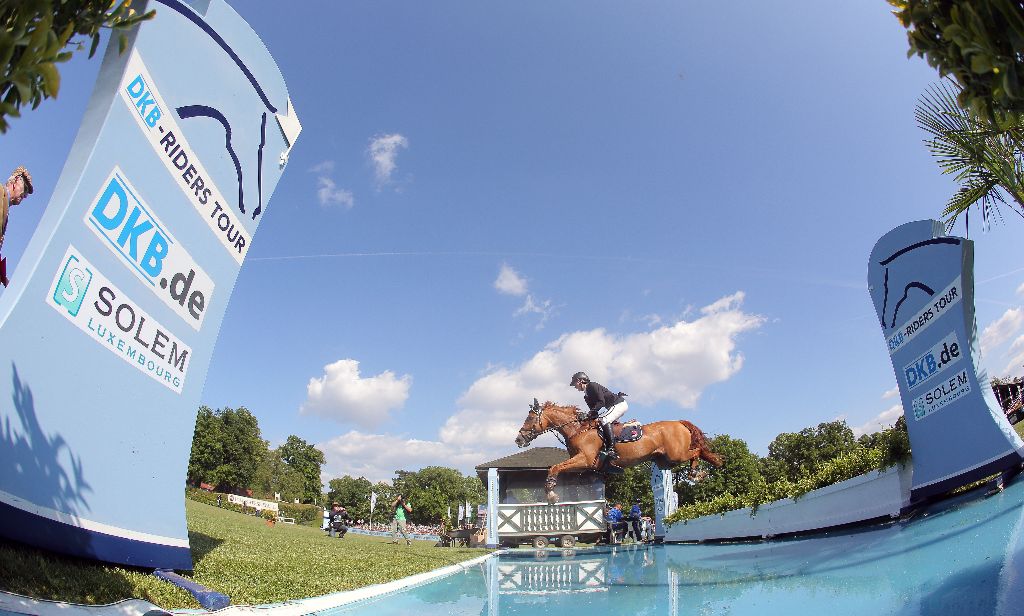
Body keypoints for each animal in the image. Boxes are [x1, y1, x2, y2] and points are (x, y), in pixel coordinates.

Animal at [512, 399, 720, 503]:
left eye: (530, 418)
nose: (519, 439)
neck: (578, 430)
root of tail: (678, 422)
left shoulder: (585, 459)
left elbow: (554, 467)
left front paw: (551, 495)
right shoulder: (583, 466)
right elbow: (567, 474)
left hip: (676, 454)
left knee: (696, 452)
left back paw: (696, 473)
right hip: (666, 458)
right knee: (699, 452)